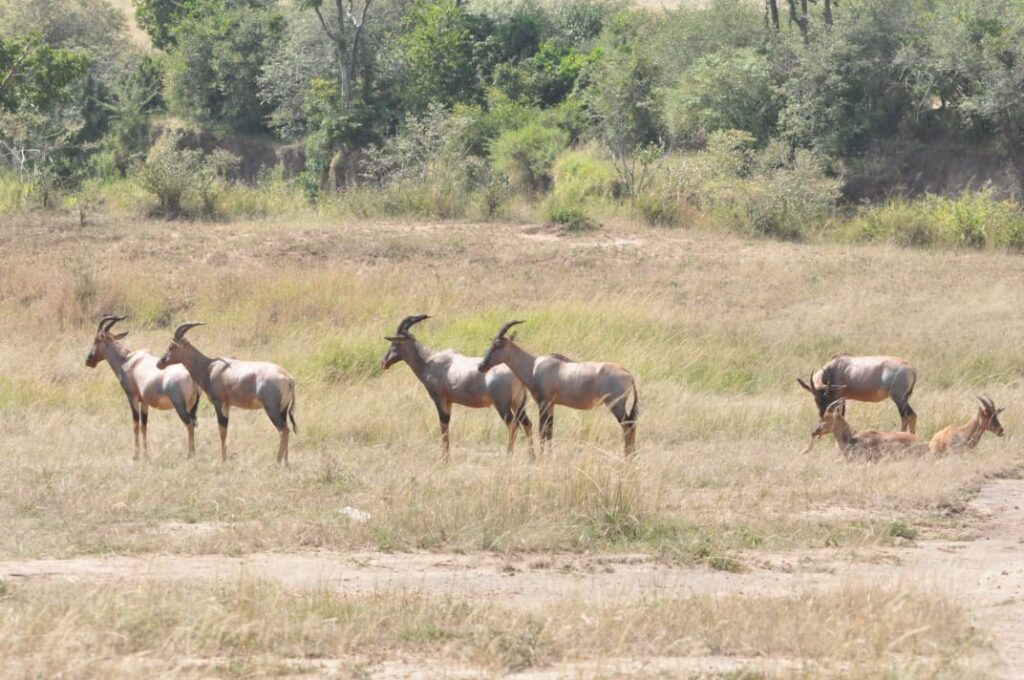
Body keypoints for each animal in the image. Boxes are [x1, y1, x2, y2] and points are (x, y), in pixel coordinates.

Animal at [85, 315, 201, 460]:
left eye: (97, 339)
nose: (88, 360)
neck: (128, 361)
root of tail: (191, 376)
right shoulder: (144, 401)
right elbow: (144, 426)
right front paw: (146, 455)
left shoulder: (132, 397)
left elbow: (135, 424)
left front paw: (136, 456)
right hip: (191, 405)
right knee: (194, 423)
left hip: (180, 405)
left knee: (189, 424)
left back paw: (189, 455)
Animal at [156, 322, 297, 465]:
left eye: (172, 346)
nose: (159, 363)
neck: (210, 367)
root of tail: (288, 378)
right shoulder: (228, 405)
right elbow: (225, 431)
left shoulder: (219, 403)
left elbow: (221, 431)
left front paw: (222, 460)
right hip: (282, 410)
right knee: (287, 429)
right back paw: (286, 462)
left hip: (271, 409)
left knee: (283, 430)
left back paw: (277, 462)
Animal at [381, 315, 533, 463]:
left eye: (395, 343)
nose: (383, 362)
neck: (430, 360)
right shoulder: (449, 401)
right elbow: (446, 426)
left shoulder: (440, 399)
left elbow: (443, 425)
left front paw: (444, 460)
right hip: (518, 404)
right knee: (527, 424)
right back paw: (532, 458)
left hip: (503, 406)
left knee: (513, 426)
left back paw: (508, 458)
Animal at [478, 320, 638, 457]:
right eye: (492, 343)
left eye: (498, 344)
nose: (481, 366)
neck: (534, 366)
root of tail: (629, 375)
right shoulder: (551, 404)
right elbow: (550, 431)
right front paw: (549, 456)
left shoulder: (543, 403)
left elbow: (542, 430)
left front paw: (542, 458)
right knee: (632, 425)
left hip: (616, 405)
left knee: (628, 426)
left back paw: (627, 457)